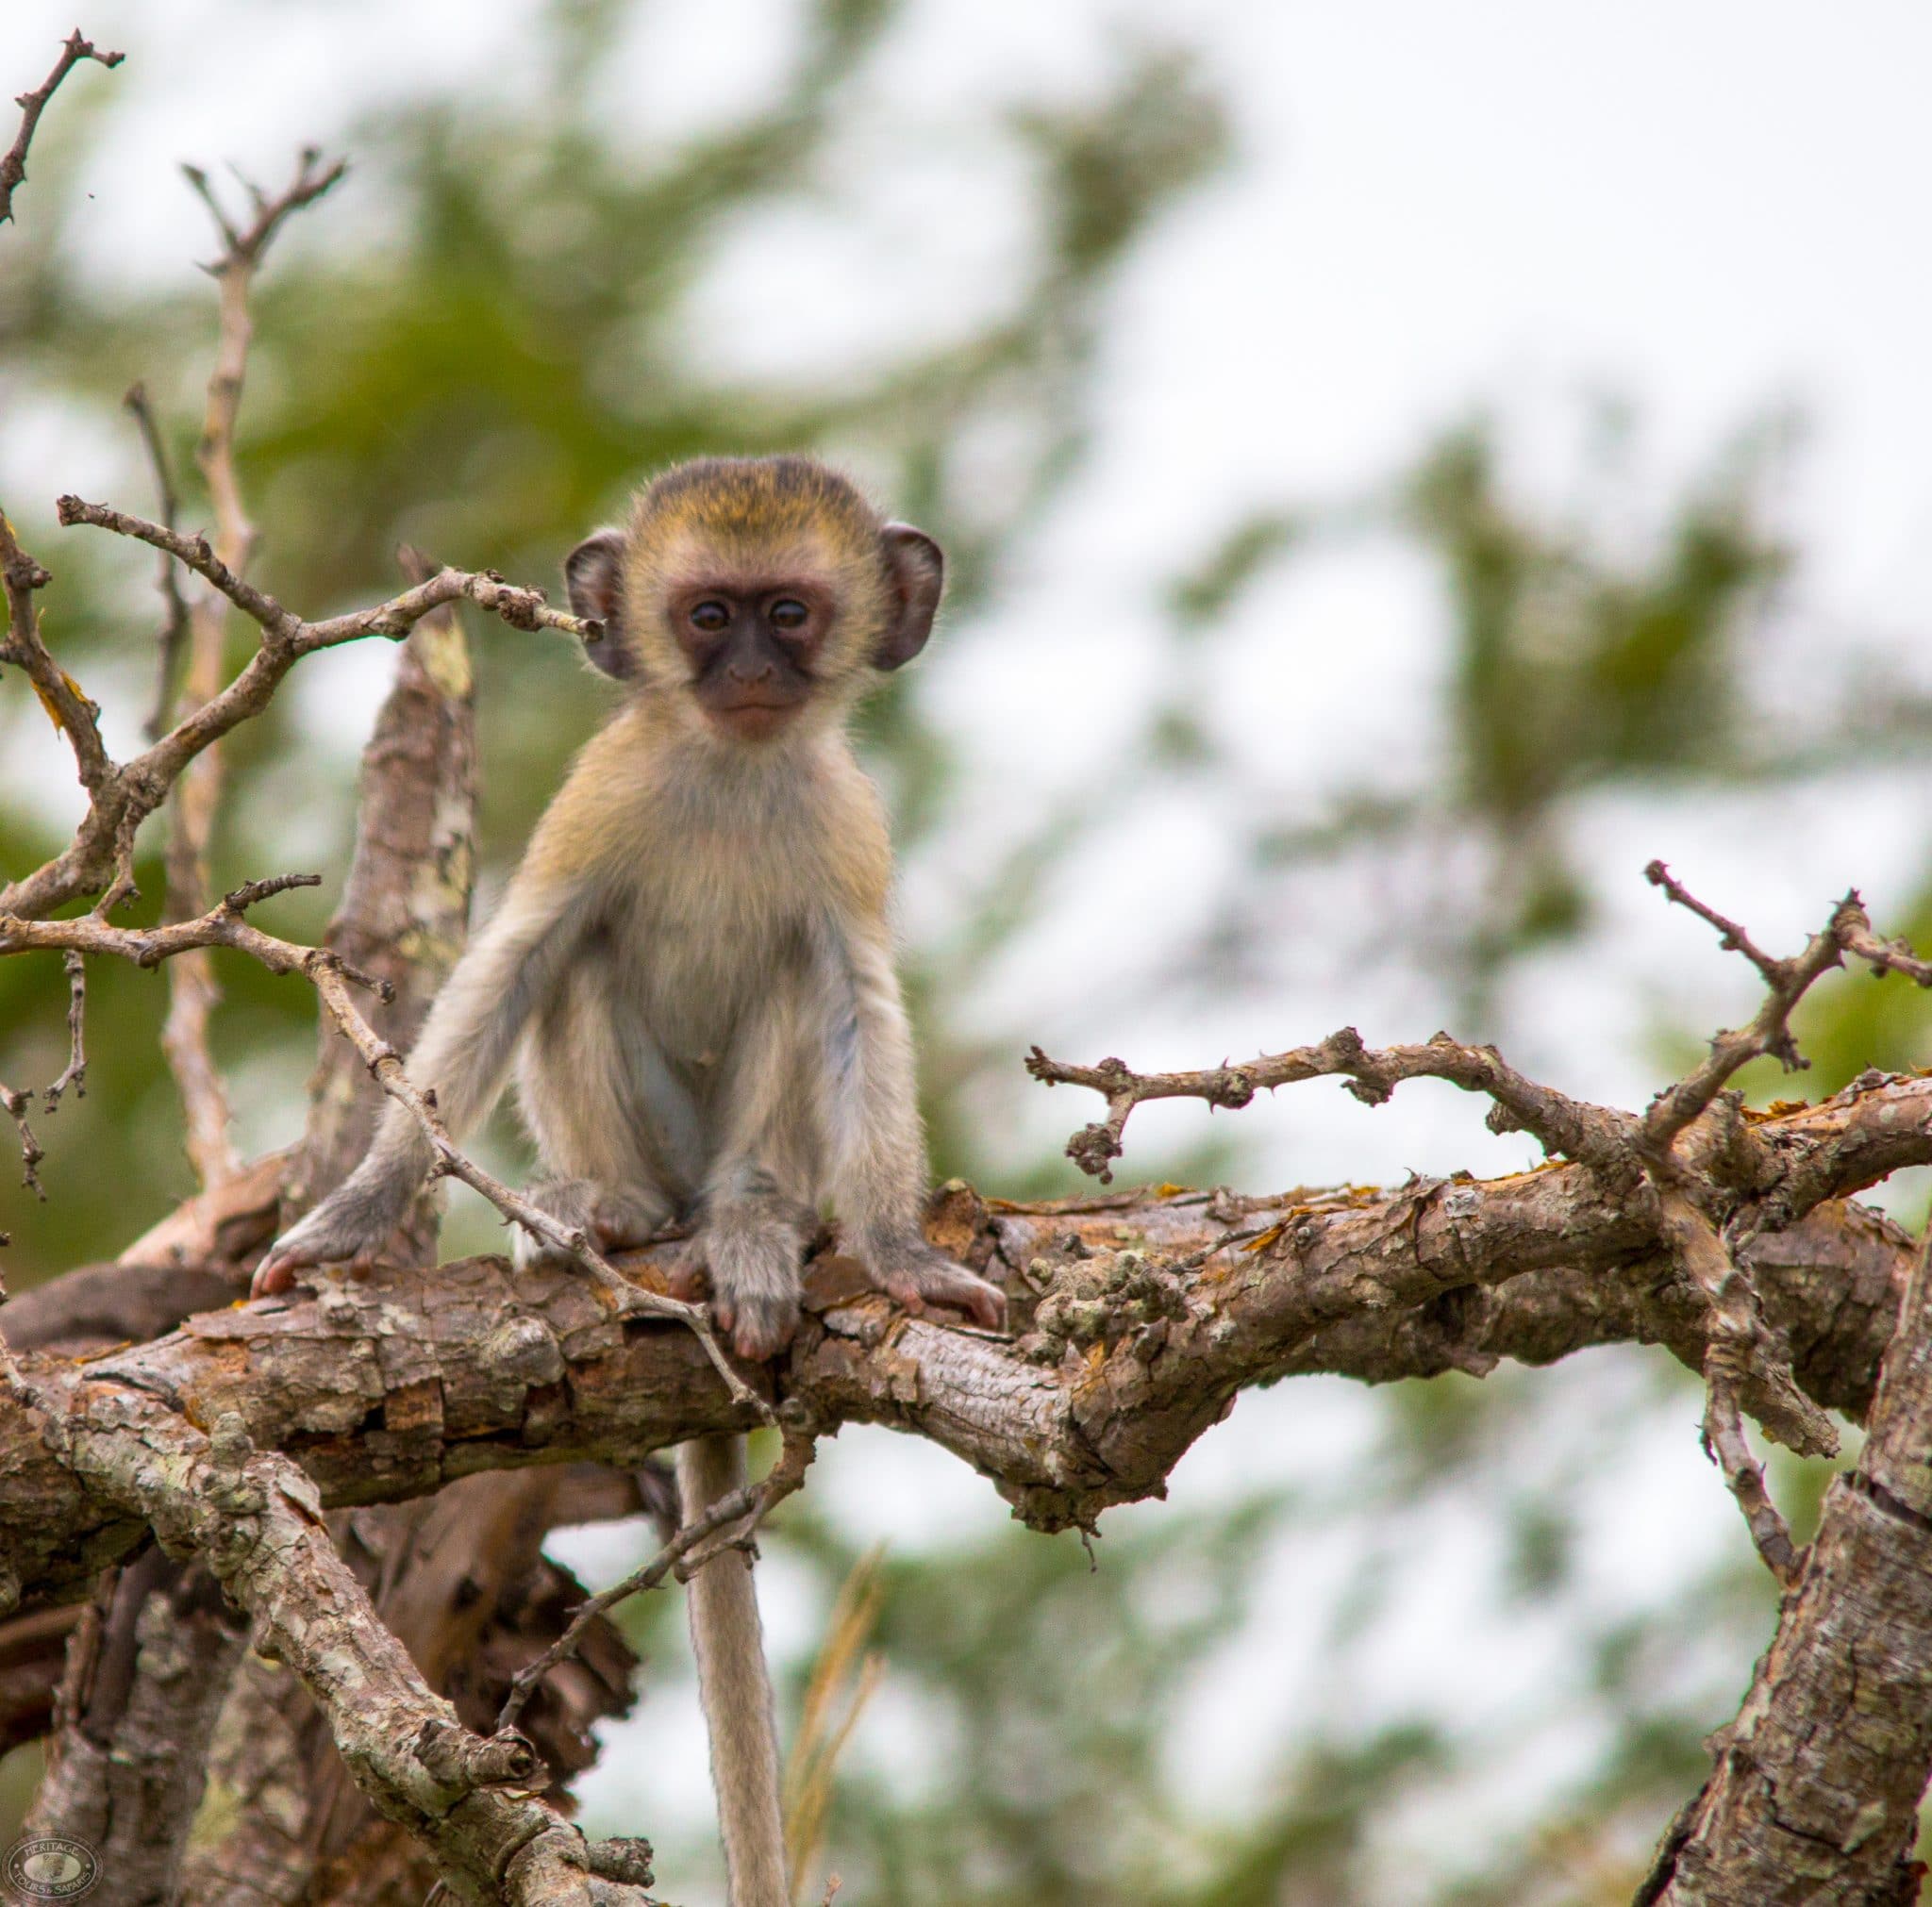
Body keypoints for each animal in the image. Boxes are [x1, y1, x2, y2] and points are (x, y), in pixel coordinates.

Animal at [252, 454, 1006, 1907]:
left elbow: (853, 998)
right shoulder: (595, 803)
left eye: (790, 610)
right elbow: (516, 960)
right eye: (709, 615)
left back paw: (755, 1224)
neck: (732, 766)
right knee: (582, 960)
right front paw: (358, 1213)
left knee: (792, 994)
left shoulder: (845, 830)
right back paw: (610, 1210)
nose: (755, 667)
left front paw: (900, 1248)